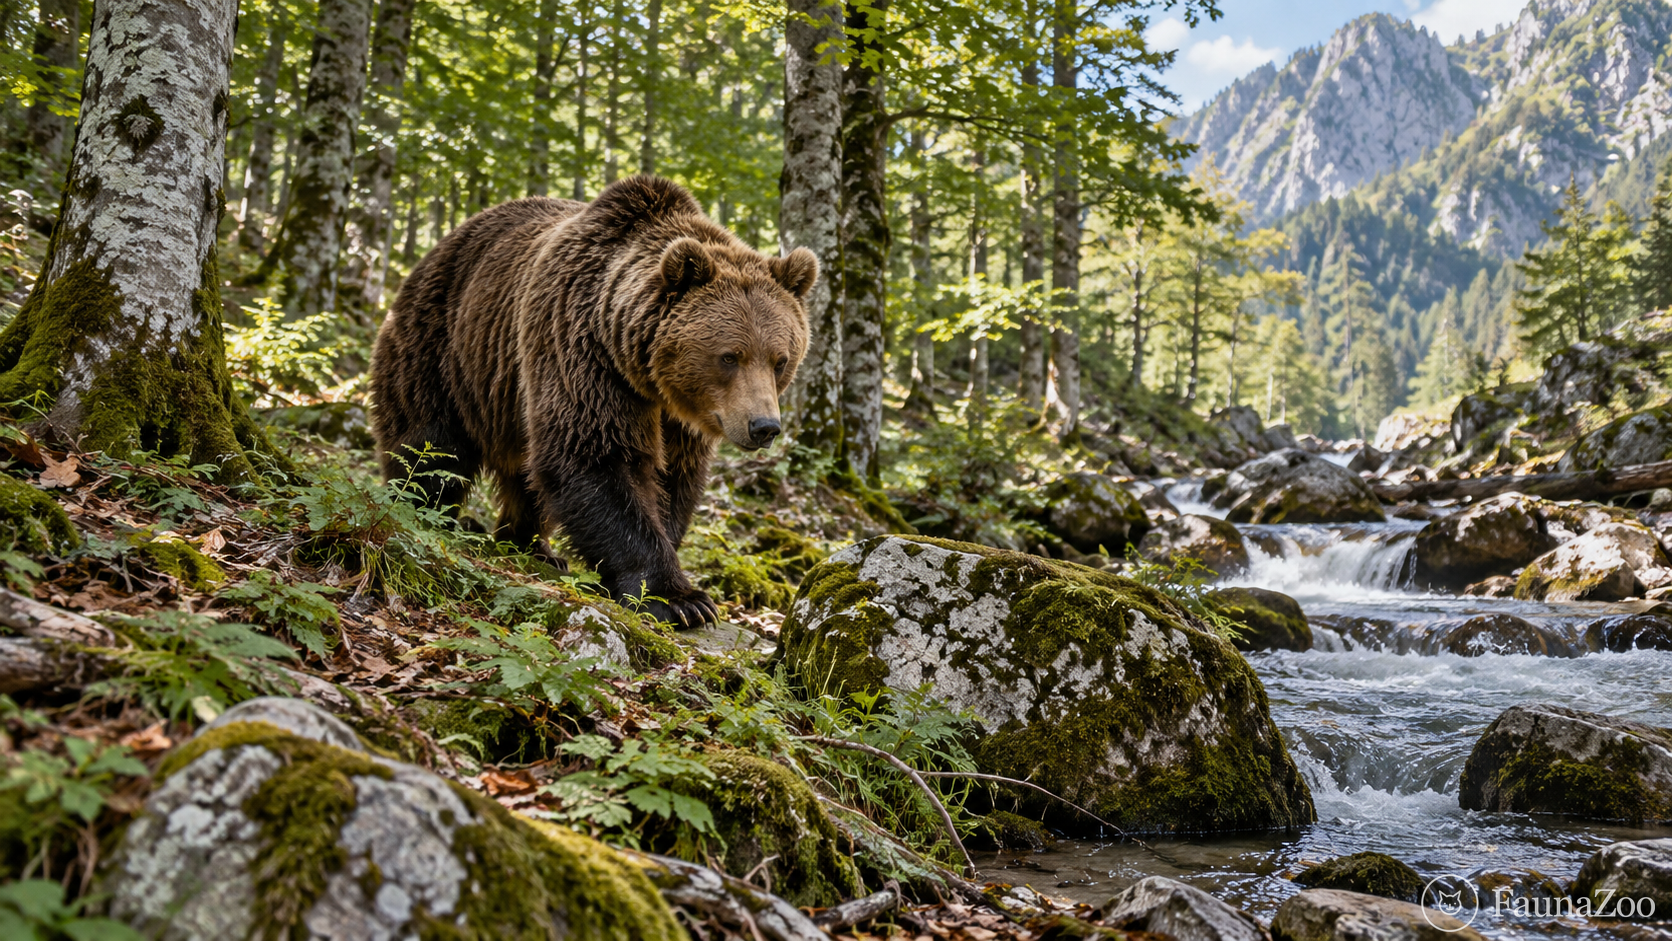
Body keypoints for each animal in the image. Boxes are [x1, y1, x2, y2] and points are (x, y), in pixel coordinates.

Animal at [371, 175, 816, 627]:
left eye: (780, 360)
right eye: (729, 356)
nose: (764, 427)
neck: (645, 371)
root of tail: (441, 246)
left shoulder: (679, 414)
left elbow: (673, 478)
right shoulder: (581, 349)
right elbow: (595, 455)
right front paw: (680, 599)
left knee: (526, 472)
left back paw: (533, 546)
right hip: (445, 348)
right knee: (431, 447)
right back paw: (426, 512)